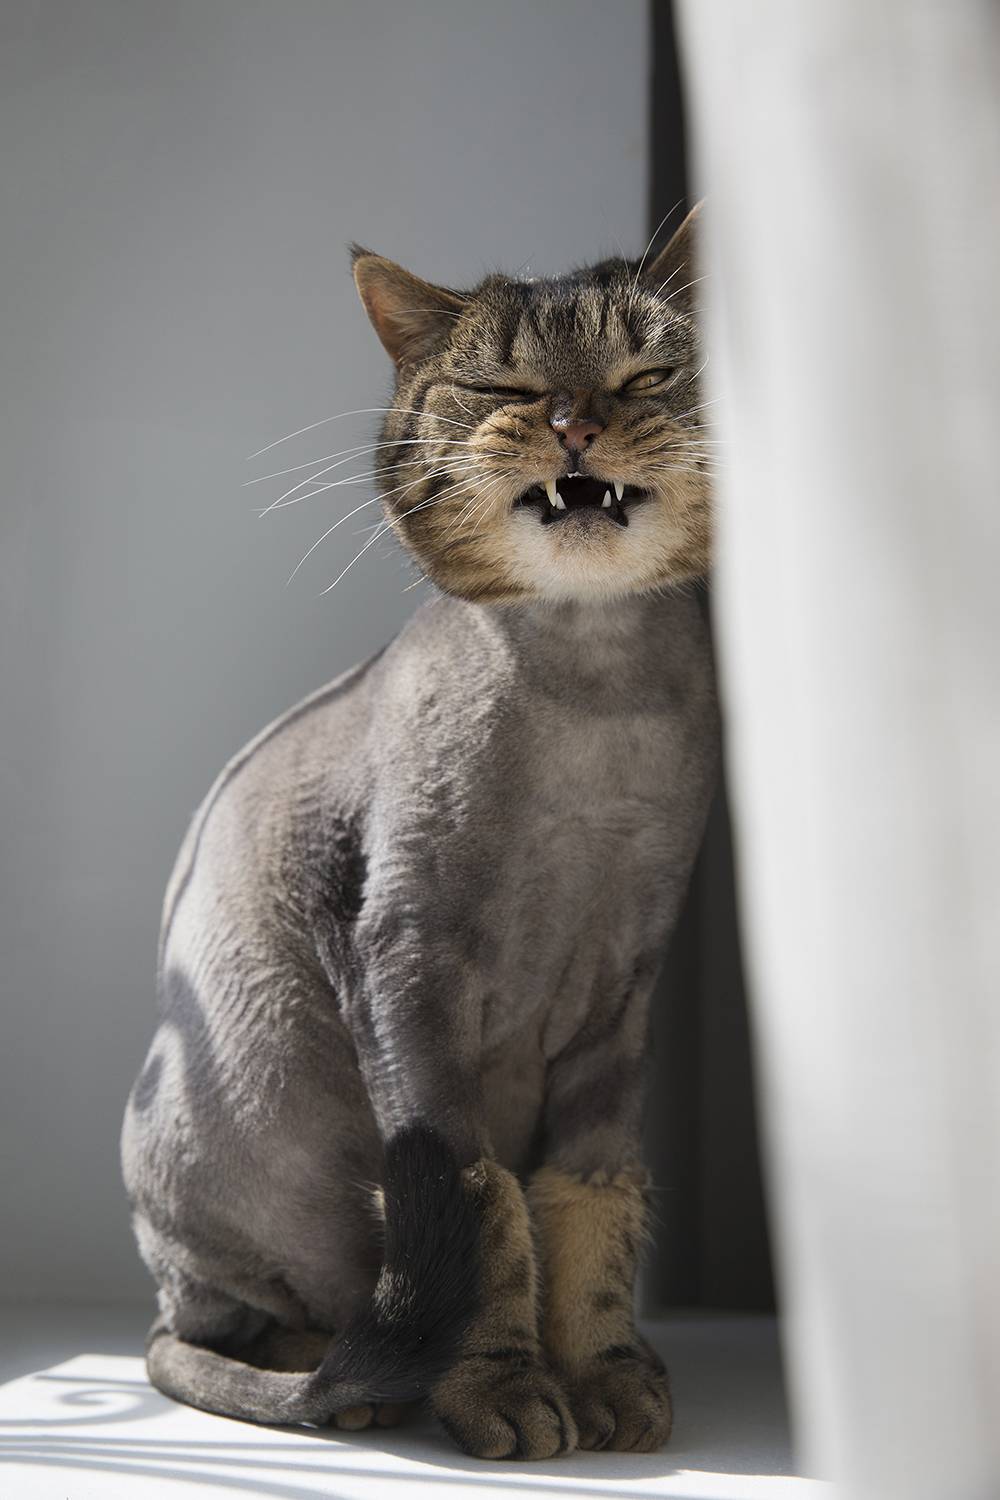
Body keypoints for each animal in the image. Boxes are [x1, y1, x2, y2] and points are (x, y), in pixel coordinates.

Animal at [121, 204, 720, 1460]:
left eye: (644, 372)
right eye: (502, 382)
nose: (576, 420)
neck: (594, 715)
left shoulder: (622, 996)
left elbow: (591, 1198)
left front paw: (606, 1376)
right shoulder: (403, 964)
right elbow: (475, 1200)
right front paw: (502, 1391)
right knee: (223, 1329)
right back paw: (362, 1379)